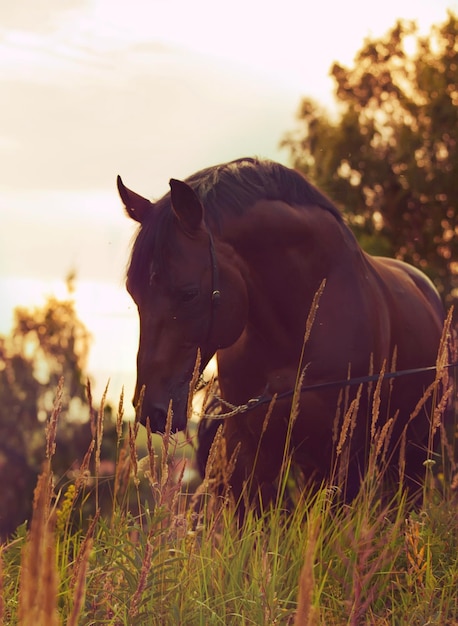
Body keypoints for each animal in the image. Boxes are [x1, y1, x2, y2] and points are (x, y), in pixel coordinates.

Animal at [117, 157, 448, 508]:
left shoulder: (341, 457)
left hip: (412, 453)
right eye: (133, 292)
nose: (152, 410)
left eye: (189, 293)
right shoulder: (248, 453)